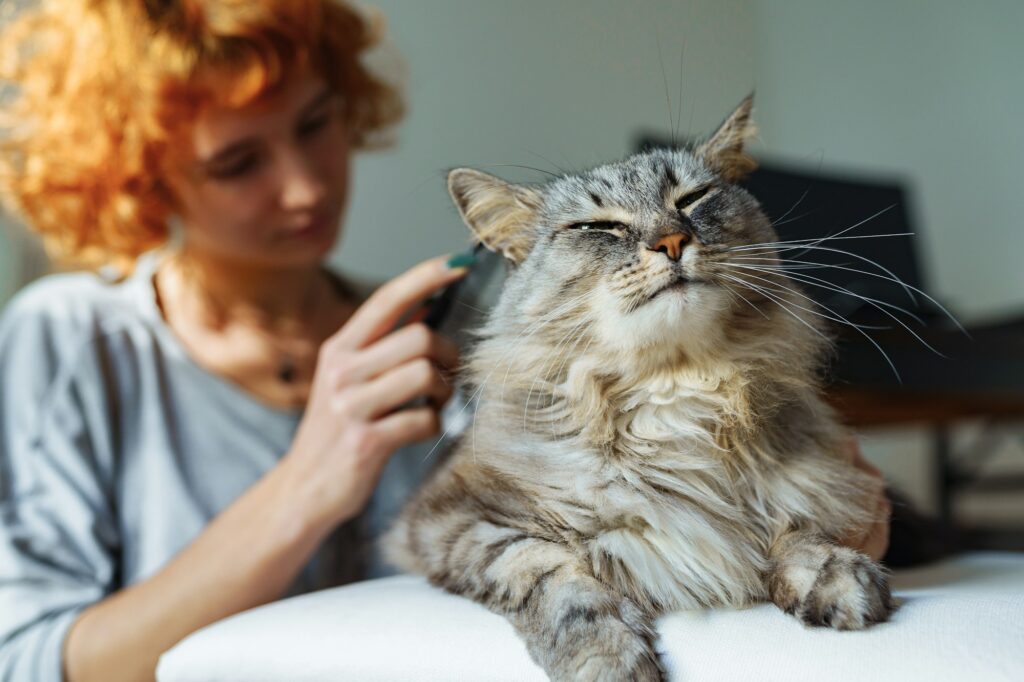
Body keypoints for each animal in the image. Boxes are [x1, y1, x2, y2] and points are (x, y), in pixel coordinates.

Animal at [380, 95, 892, 679]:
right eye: (598, 226)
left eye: (692, 199)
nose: (671, 240)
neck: (675, 387)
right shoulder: (452, 520)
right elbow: (549, 575)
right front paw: (606, 655)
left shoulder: (816, 477)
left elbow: (797, 521)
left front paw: (831, 574)